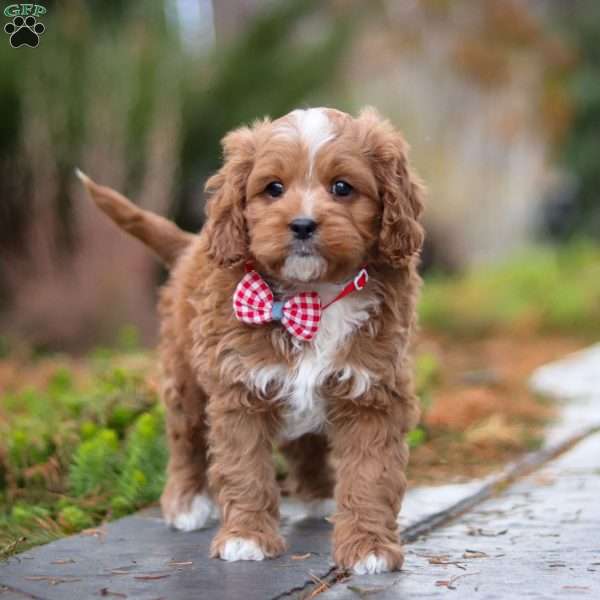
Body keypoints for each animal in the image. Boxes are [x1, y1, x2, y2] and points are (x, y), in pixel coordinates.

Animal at [77, 105, 424, 576]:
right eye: (273, 188)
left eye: (342, 187)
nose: (302, 225)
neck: (311, 297)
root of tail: (191, 244)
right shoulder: (239, 389)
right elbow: (245, 470)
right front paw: (247, 539)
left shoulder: (372, 391)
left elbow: (371, 474)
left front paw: (368, 547)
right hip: (184, 379)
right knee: (185, 441)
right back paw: (186, 503)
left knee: (305, 443)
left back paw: (318, 498)